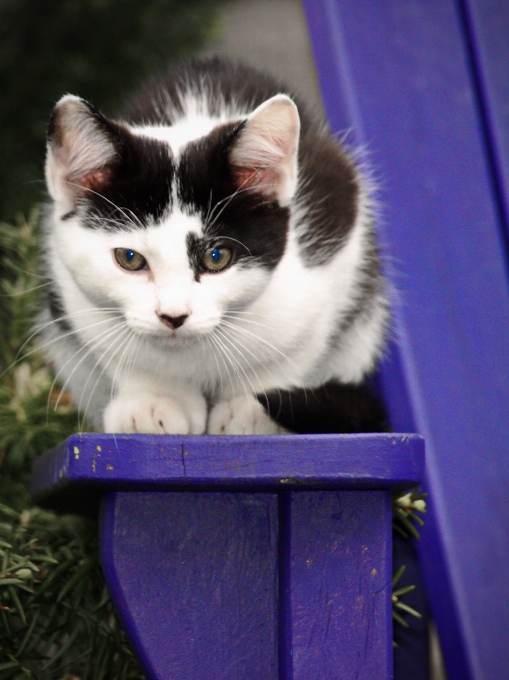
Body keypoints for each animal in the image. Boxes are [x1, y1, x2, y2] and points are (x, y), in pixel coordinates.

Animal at [39, 57, 388, 436]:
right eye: (129, 258)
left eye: (216, 257)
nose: (173, 316)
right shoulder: (70, 292)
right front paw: (155, 402)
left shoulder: (333, 258)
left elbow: (294, 353)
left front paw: (251, 409)